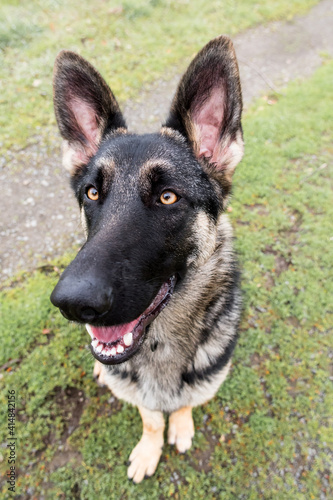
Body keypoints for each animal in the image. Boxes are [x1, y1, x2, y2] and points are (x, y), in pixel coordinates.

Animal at [51, 34, 244, 480]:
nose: (73, 303)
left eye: (167, 197)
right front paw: (149, 448)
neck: (158, 345)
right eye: (92, 193)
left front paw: (181, 427)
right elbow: (152, 417)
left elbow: (187, 402)